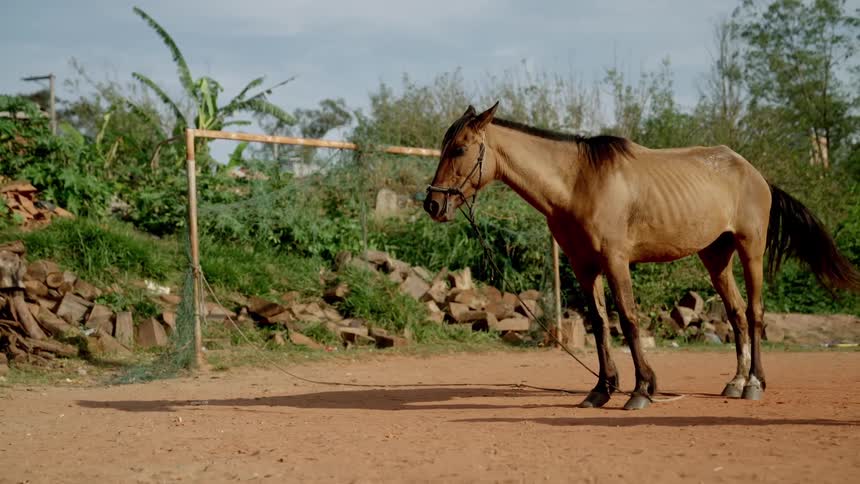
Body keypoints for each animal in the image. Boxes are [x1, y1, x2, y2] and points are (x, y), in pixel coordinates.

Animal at [423, 102, 860, 410]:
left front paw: (642, 390)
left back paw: (753, 383)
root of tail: (754, 173)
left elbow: (629, 320)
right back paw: (735, 383)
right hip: (715, 256)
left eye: (459, 148)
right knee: (736, 314)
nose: (432, 204)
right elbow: (600, 324)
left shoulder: (617, 262)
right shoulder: (584, 267)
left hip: (749, 248)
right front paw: (601, 390)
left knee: (753, 313)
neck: (577, 183)